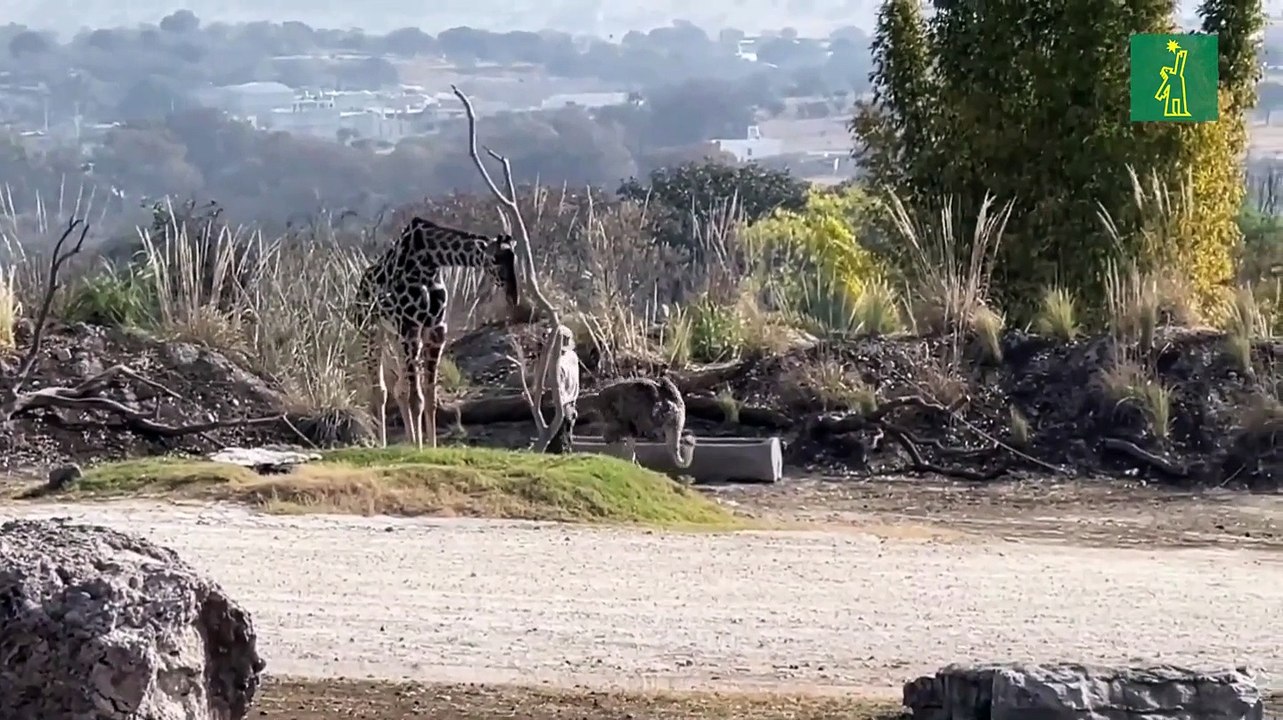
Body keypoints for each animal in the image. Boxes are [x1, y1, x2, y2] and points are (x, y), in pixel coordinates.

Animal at [354, 216, 520, 448]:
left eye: (514, 258)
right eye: (495, 259)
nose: (513, 296)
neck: (430, 262)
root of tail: (361, 286)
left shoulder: (435, 329)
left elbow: (429, 397)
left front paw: (429, 446)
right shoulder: (410, 327)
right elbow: (416, 398)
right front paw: (419, 449)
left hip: (395, 338)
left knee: (399, 388)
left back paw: (409, 440)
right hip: (371, 330)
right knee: (380, 389)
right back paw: (384, 445)